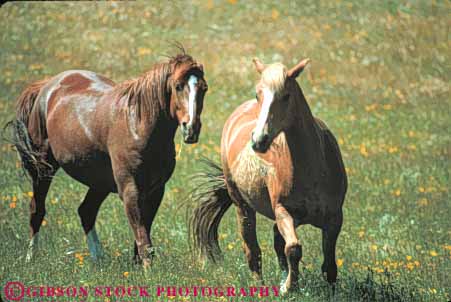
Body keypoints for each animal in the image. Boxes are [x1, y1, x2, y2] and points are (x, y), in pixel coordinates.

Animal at [7, 52, 208, 266]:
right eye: (178, 86)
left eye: (204, 88)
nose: (191, 128)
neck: (138, 125)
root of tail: (47, 86)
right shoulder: (130, 190)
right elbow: (143, 237)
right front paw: (149, 271)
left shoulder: (155, 191)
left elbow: (142, 235)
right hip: (44, 169)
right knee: (37, 211)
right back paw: (31, 257)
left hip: (99, 182)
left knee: (86, 211)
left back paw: (98, 260)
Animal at [190, 57, 346, 294]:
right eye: (258, 95)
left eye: (286, 95)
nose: (259, 140)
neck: (314, 170)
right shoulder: (283, 211)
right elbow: (293, 248)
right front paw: (289, 287)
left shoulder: (335, 218)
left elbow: (328, 264)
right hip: (243, 208)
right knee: (253, 251)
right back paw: (260, 286)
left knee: (276, 241)